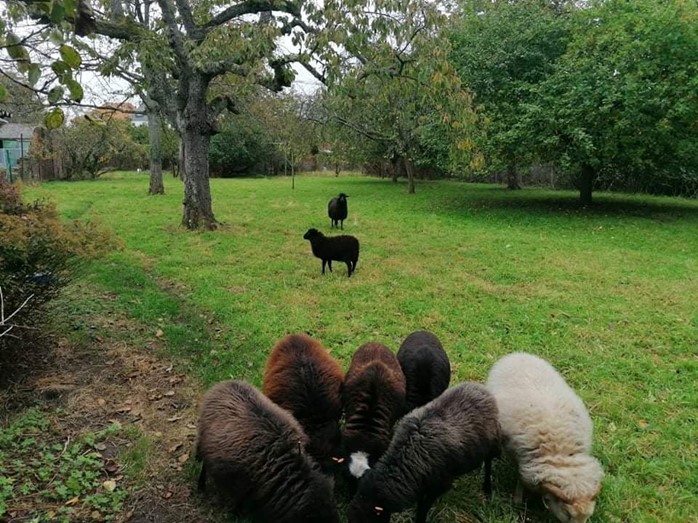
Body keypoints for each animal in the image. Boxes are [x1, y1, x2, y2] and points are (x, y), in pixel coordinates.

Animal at [194, 380, 338, 523]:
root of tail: (225, 383)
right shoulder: (239, 484)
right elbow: (239, 500)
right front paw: (237, 514)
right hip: (205, 441)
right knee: (204, 465)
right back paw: (201, 486)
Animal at [346, 380, 498, 523]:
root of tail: (479, 387)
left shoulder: (440, 485)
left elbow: (425, 506)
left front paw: (419, 519)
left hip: (491, 444)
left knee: (489, 463)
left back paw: (487, 488)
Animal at [484, 352, 604, 523]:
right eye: (567, 513)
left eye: (588, 516)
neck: (560, 451)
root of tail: (519, 353)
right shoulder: (521, 456)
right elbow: (521, 480)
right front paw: (517, 500)